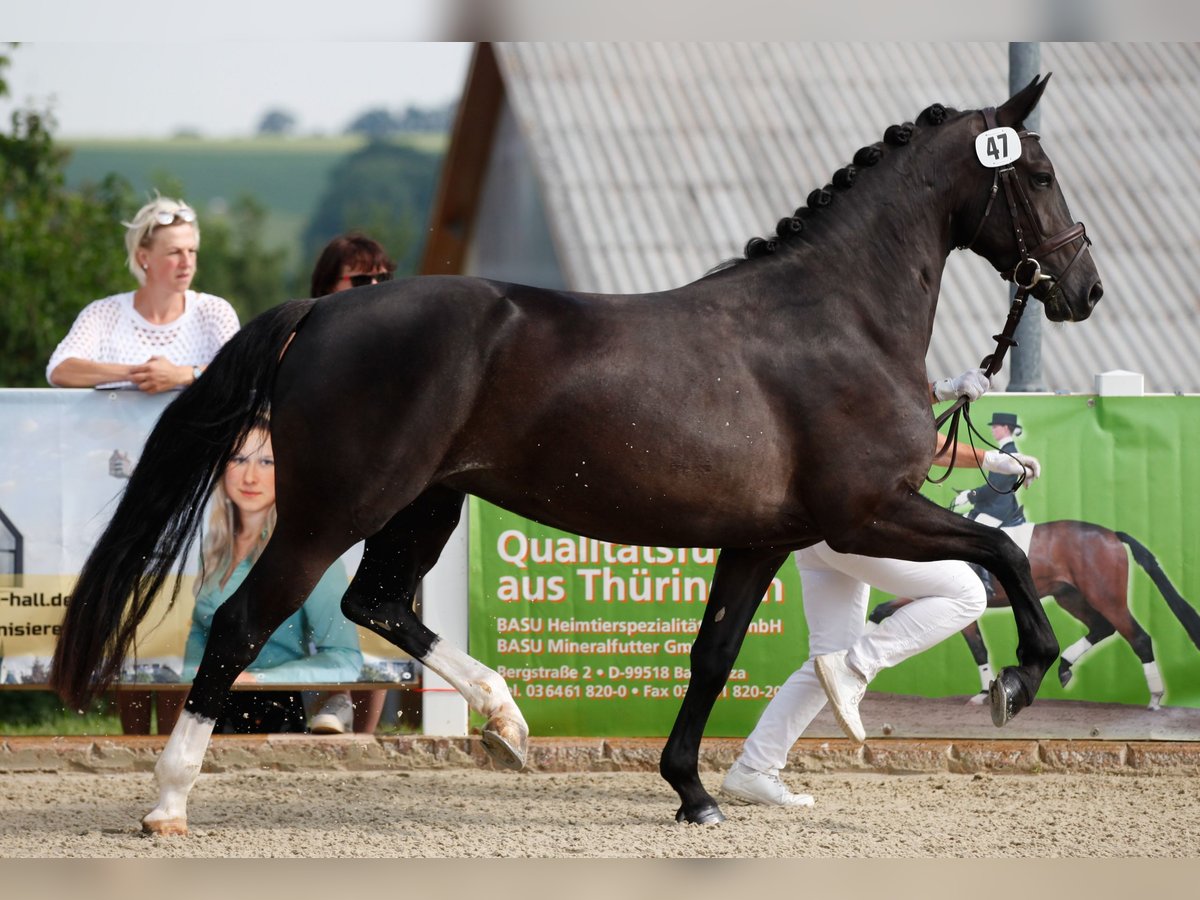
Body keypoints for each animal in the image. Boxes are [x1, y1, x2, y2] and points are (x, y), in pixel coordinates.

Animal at [54, 77, 1099, 830]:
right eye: (1042, 174)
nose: (1082, 287)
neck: (837, 318)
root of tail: (322, 312)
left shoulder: (762, 538)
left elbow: (714, 655)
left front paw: (694, 792)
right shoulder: (869, 511)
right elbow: (1000, 557)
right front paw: (1021, 678)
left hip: (425, 504)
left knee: (375, 603)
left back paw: (509, 723)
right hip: (334, 513)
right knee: (242, 625)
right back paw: (168, 800)